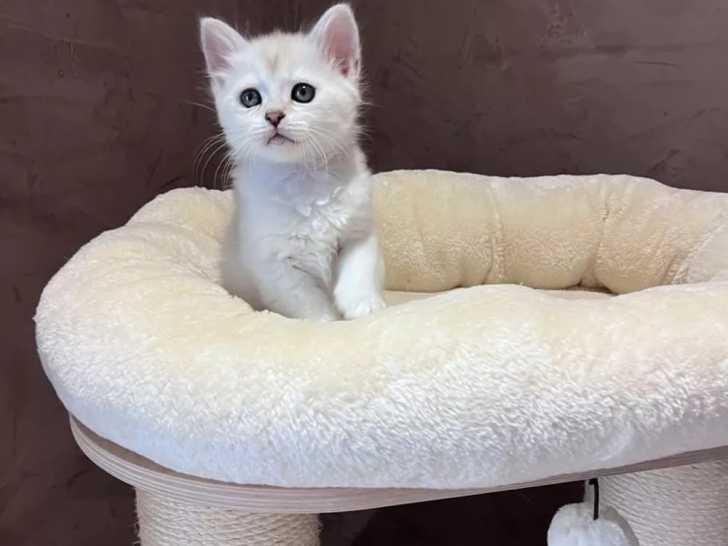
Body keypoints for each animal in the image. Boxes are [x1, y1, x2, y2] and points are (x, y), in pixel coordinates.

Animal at [200, 4, 386, 321]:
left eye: (302, 92)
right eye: (250, 98)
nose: (273, 115)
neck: (302, 177)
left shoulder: (359, 231)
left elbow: (359, 268)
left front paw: (363, 305)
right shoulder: (276, 266)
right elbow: (310, 306)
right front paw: (330, 324)